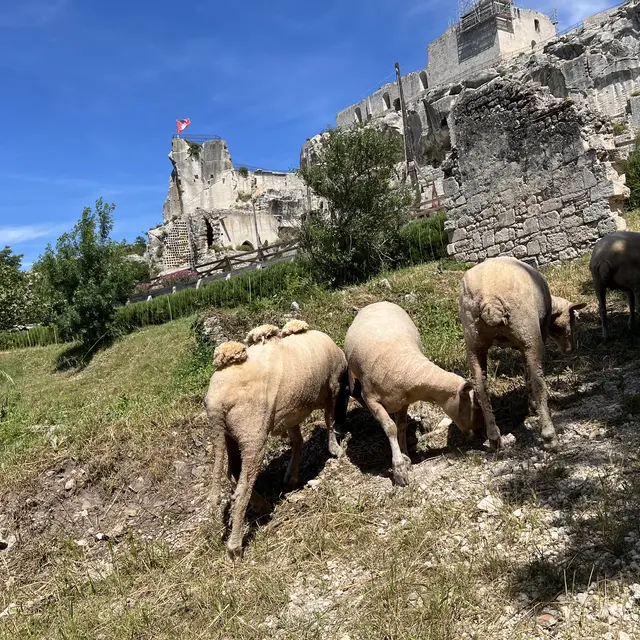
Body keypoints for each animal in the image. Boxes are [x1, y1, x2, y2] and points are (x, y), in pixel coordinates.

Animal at [205, 322, 349, 559]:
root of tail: (216, 402)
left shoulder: (292, 410)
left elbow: (298, 440)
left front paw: (292, 476)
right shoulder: (332, 386)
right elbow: (329, 420)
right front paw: (335, 449)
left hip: (229, 436)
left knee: (234, 473)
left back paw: (262, 505)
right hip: (253, 434)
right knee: (242, 489)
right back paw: (235, 546)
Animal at [344, 301, 485, 486]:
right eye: (473, 407)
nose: (480, 432)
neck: (406, 366)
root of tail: (380, 302)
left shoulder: (402, 403)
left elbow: (401, 427)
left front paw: (405, 457)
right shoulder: (372, 400)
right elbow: (391, 428)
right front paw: (399, 468)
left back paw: (425, 419)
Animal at [459, 257, 586, 452]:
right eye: (572, 320)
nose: (570, 350)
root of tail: (489, 301)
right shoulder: (537, 333)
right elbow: (528, 374)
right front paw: (532, 405)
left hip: (473, 341)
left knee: (481, 388)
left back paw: (494, 438)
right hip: (528, 331)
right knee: (538, 382)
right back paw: (550, 437)